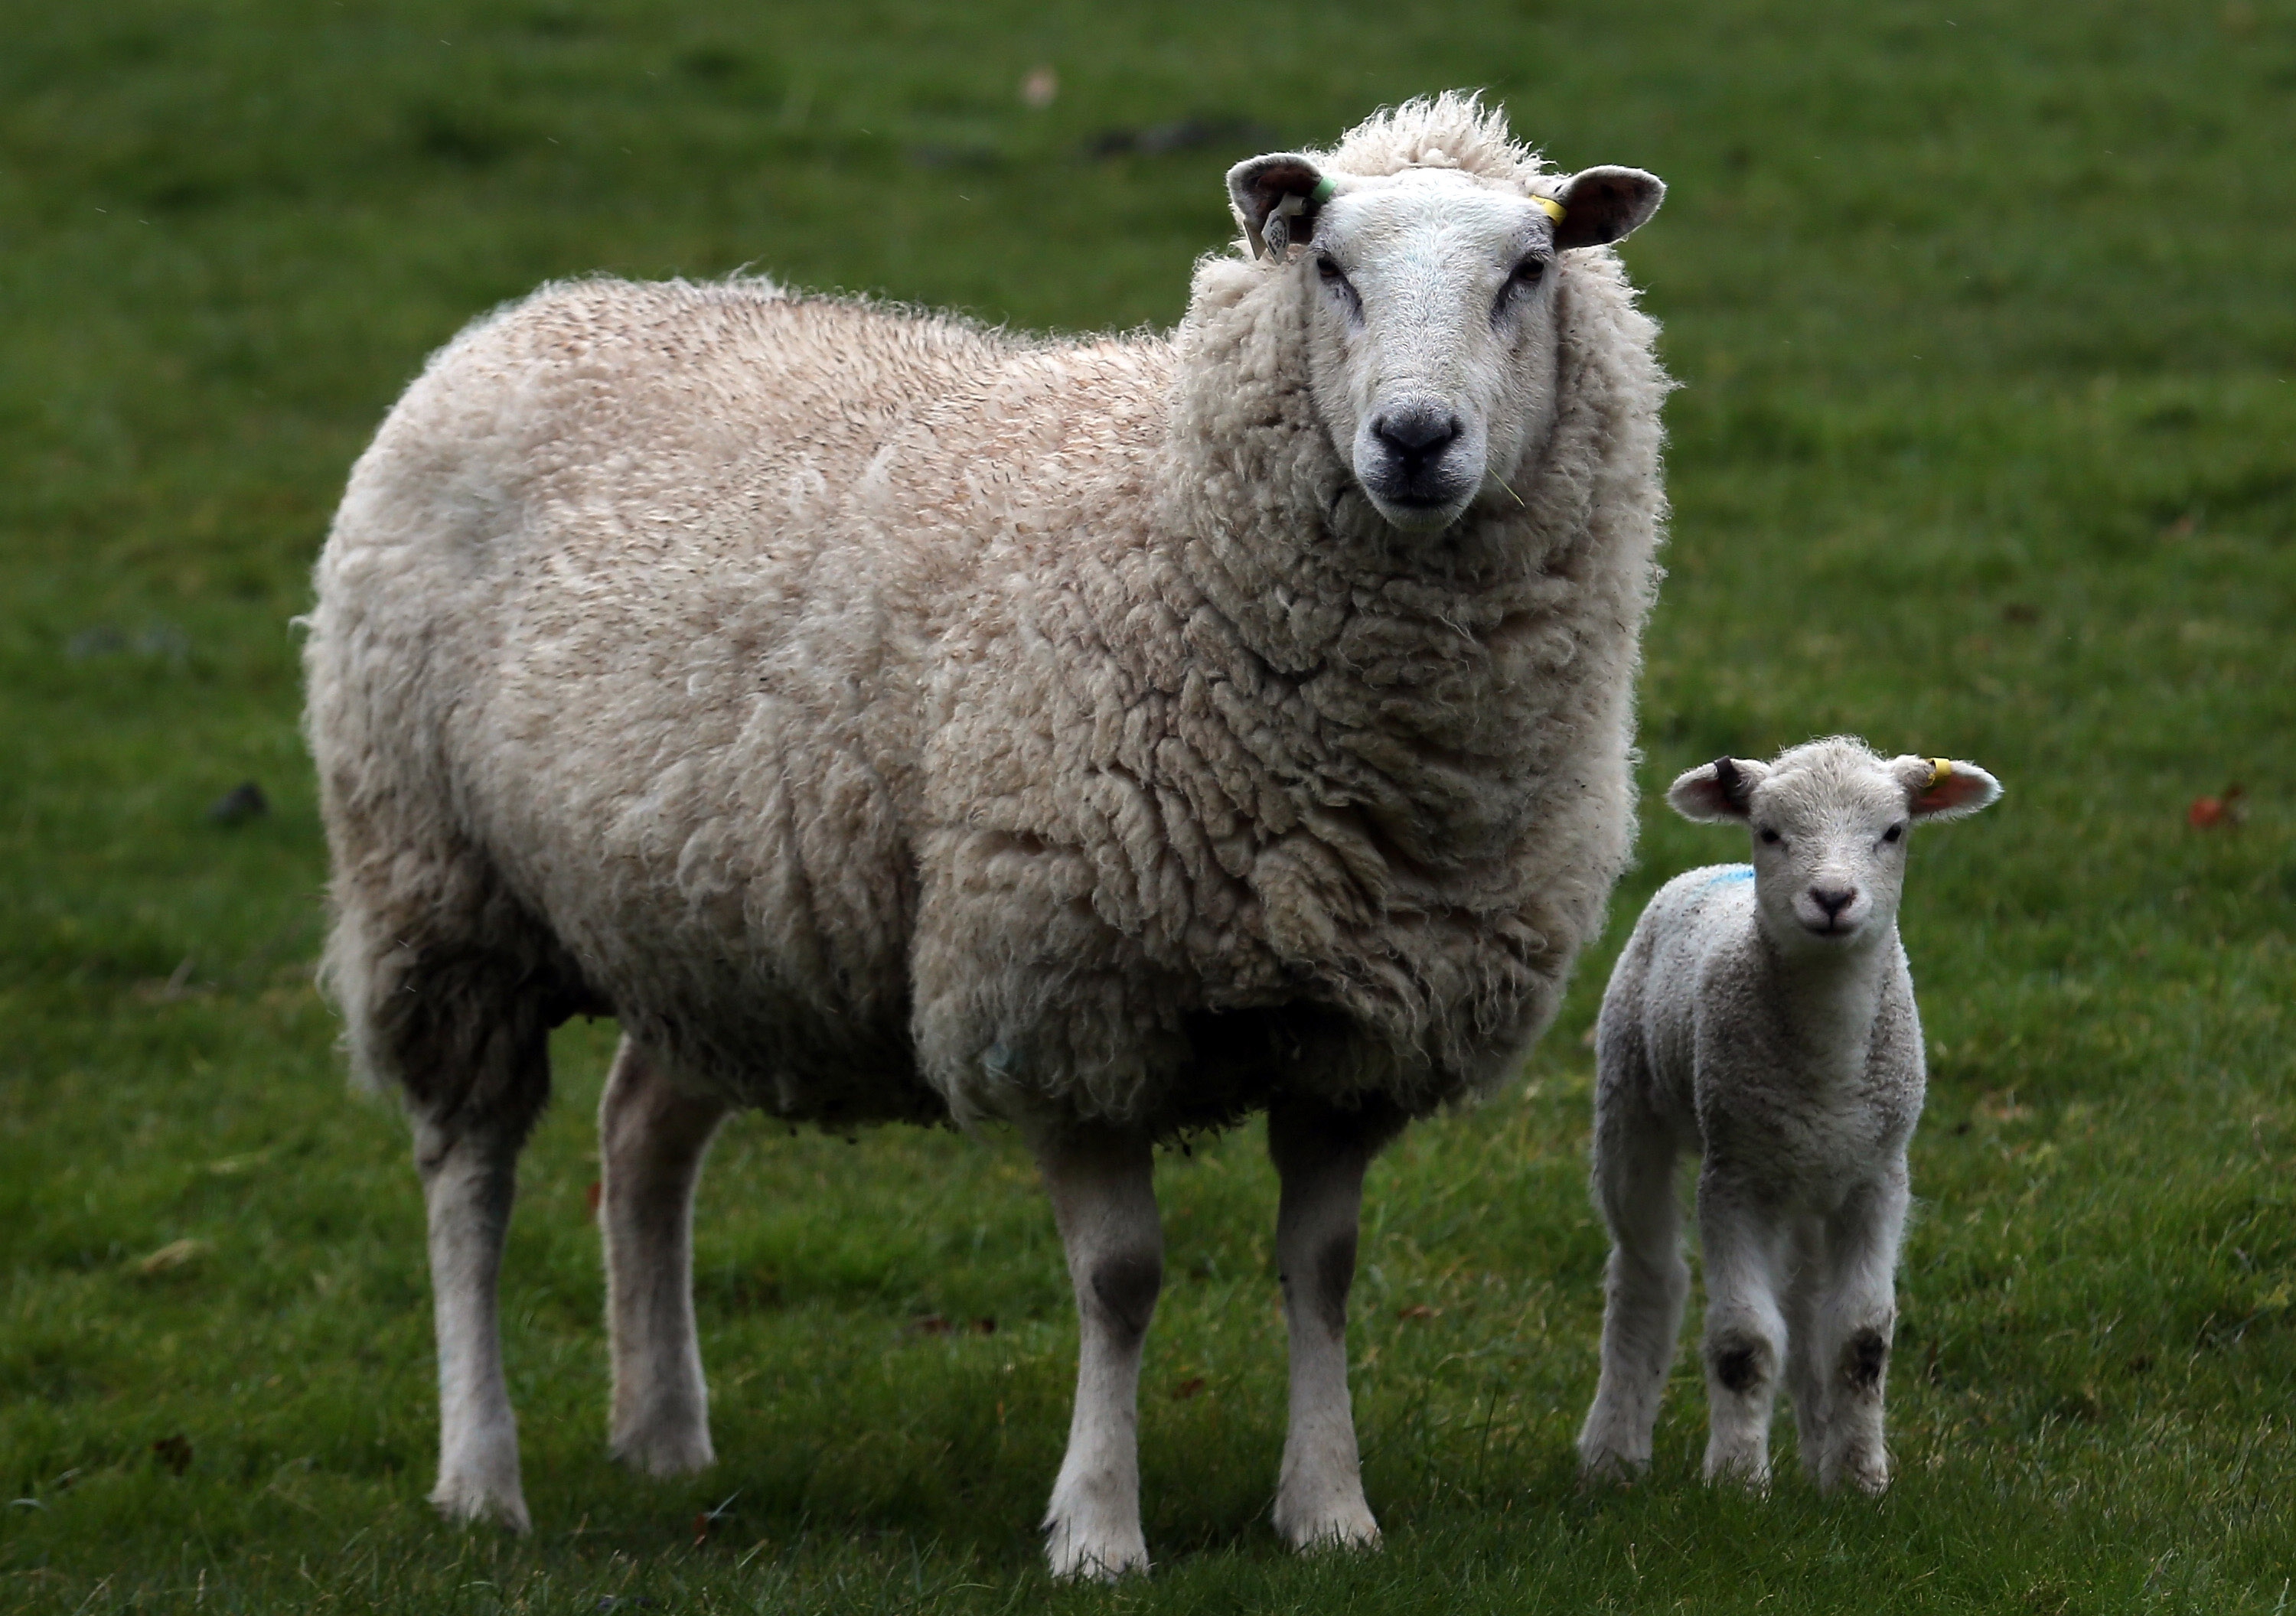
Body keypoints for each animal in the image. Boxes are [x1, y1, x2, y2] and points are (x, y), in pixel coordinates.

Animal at [301, 92, 1671, 1579]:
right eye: (1329, 268)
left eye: (1527, 272)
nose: (1415, 439)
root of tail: (529, 315)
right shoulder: (1060, 996)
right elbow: (1121, 1279)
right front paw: (1099, 1528)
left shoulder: (1356, 1024)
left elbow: (1324, 1269)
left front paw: (1329, 1511)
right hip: (439, 891)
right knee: (469, 1178)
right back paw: (481, 1475)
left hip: (708, 918)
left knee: (642, 1137)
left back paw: (661, 1433)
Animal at [1570, 739, 2002, 1497]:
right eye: (1770, 832)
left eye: (1894, 833)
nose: (1832, 899)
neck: (1830, 1063)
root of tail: (1711, 872)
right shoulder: (1734, 1177)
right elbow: (1744, 1341)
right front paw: (1738, 1482)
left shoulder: (1878, 1178)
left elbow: (1860, 1336)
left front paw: (1858, 1481)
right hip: (1629, 1098)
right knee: (1649, 1274)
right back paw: (1613, 1455)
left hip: (1809, 1176)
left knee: (1804, 1308)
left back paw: (1816, 1449)